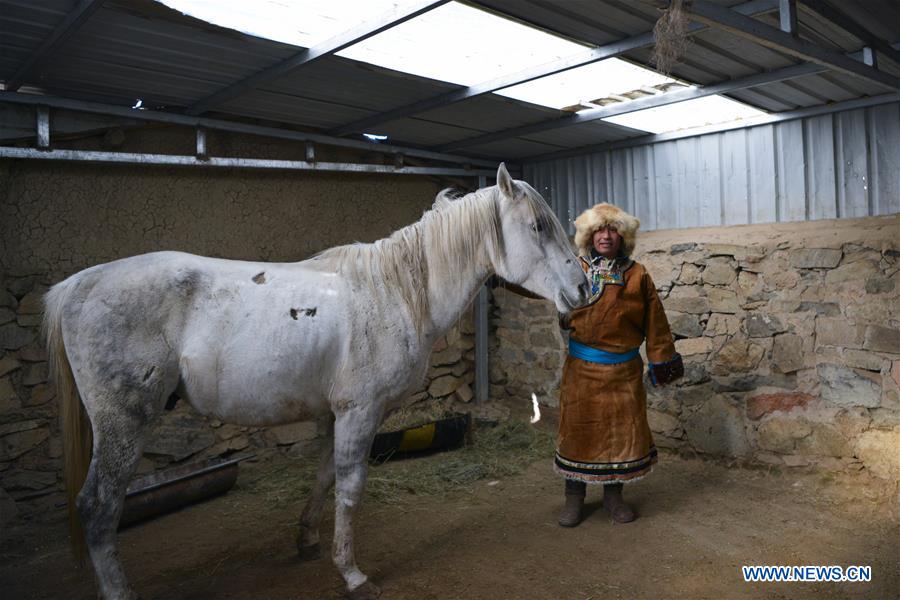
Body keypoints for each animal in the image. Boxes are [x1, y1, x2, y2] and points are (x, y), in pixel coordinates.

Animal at [44, 164, 592, 600]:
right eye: (538, 225)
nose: (583, 288)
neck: (393, 293)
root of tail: (78, 285)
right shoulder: (360, 412)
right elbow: (350, 486)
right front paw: (352, 573)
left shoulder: (334, 415)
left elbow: (325, 476)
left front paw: (307, 541)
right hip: (123, 424)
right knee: (98, 507)